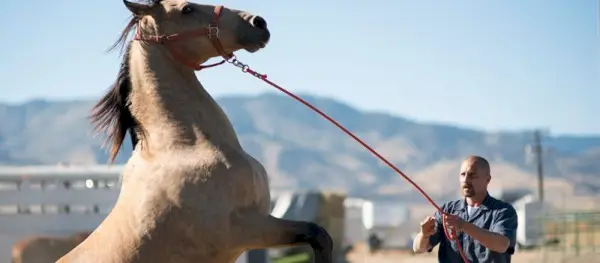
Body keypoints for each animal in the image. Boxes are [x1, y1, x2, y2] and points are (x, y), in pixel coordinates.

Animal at [56, 0, 332, 263]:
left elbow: (320, 235)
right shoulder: (245, 228)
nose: (258, 23)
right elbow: (317, 234)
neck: (185, 146)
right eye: (187, 9)